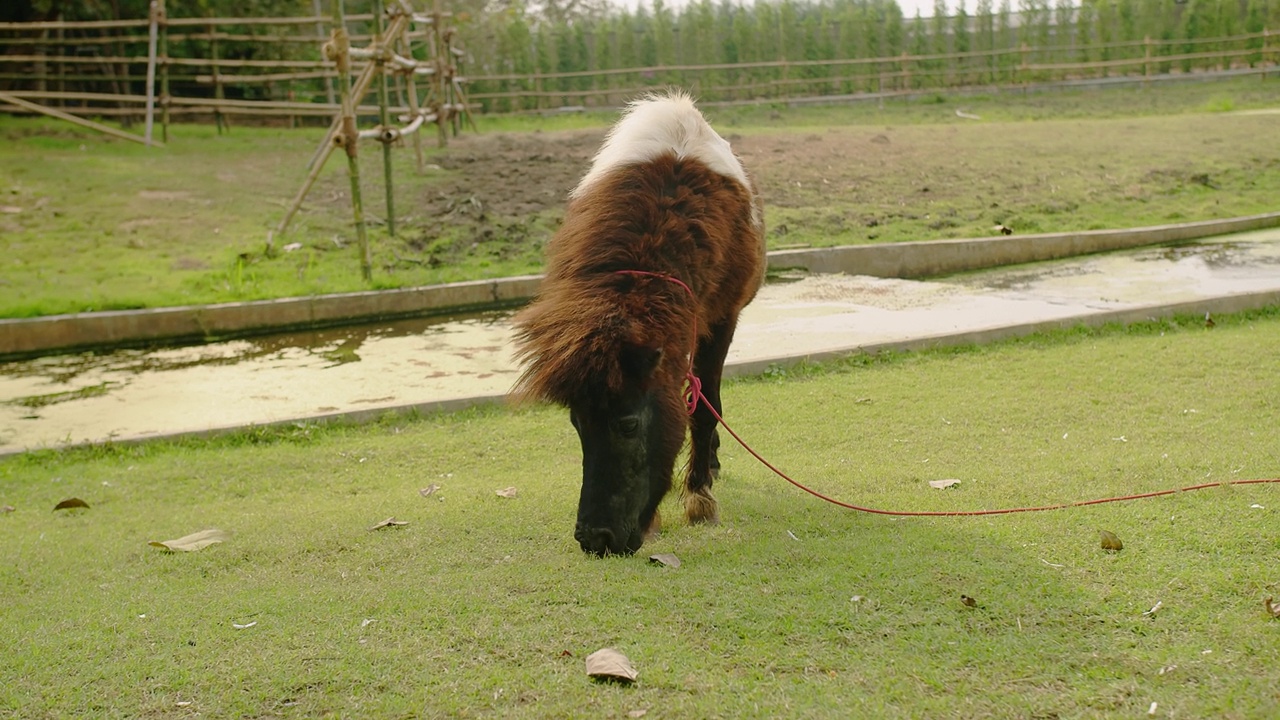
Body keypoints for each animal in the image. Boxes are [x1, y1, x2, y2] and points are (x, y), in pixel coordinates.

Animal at [509, 90, 762, 556]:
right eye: (576, 423)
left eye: (628, 424)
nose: (597, 539)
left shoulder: (721, 319)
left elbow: (705, 408)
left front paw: (699, 498)